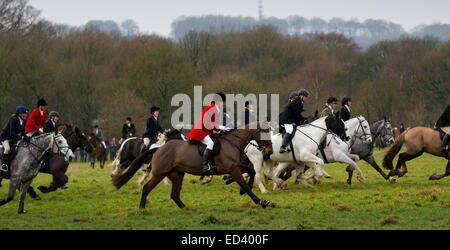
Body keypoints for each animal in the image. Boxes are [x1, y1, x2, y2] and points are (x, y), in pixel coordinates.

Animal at [114, 121, 274, 209]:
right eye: (265, 132)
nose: (270, 151)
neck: (232, 143)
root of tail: (159, 149)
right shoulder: (232, 168)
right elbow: (245, 185)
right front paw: (261, 201)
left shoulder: (236, 165)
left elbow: (252, 172)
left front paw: (243, 190)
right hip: (160, 173)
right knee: (147, 187)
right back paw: (142, 208)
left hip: (177, 174)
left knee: (174, 195)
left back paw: (185, 208)